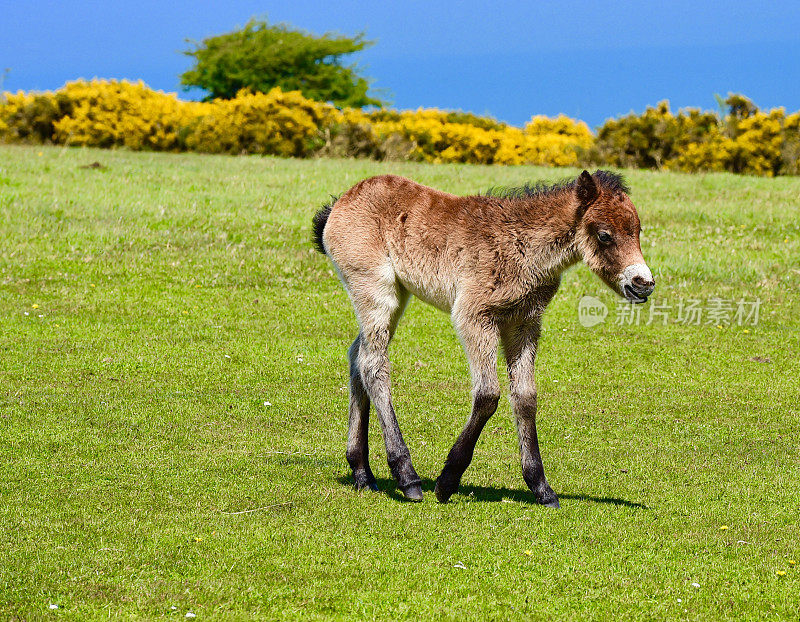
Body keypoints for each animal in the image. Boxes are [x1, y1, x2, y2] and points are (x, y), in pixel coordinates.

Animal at [310, 169, 652, 508]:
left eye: (637, 230)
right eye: (605, 235)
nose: (644, 284)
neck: (523, 244)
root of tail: (340, 203)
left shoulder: (524, 323)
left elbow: (525, 396)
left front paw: (541, 487)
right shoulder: (474, 316)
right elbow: (488, 394)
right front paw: (447, 481)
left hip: (397, 294)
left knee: (357, 355)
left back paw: (362, 472)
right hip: (375, 289)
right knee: (373, 365)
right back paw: (407, 477)